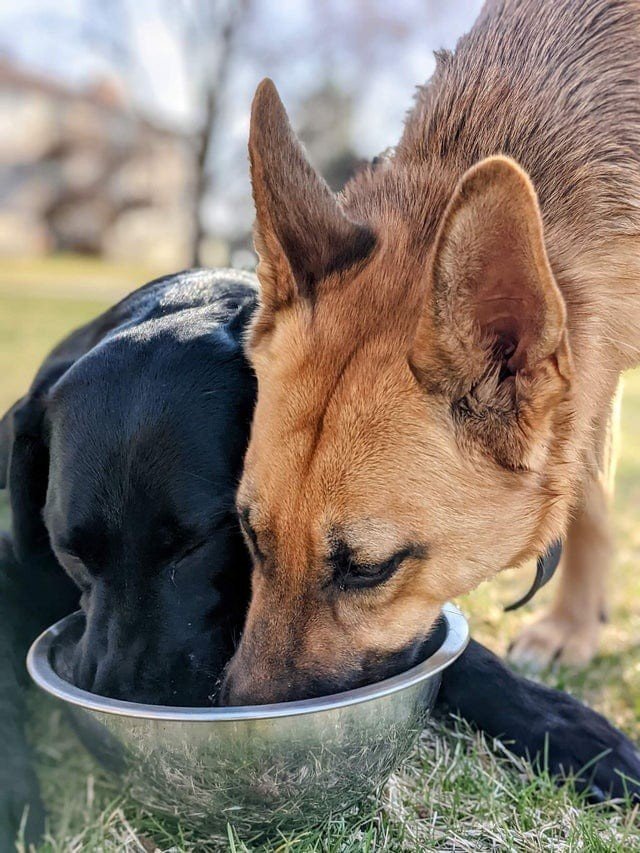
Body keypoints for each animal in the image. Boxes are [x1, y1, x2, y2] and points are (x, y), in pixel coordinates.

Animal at [221, 0, 640, 704]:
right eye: (251, 533)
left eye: (369, 570)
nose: (235, 719)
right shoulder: (590, 377)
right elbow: (584, 495)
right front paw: (576, 622)